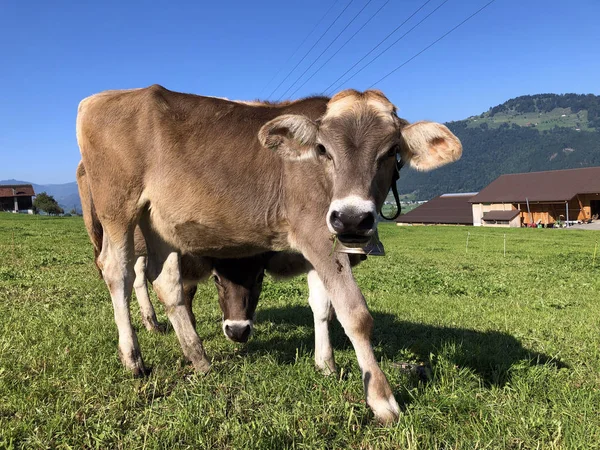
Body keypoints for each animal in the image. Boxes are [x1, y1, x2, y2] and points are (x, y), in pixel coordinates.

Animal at [75, 86, 460, 424]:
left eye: (392, 151)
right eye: (323, 149)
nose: (352, 217)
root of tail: (99, 99)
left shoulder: (321, 247)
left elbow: (322, 306)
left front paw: (325, 364)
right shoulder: (317, 232)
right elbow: (355, 315)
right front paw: (382, 400)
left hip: (158, 222)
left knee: (165, 281)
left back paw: (199, 358)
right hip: (118, 207)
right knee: (118, 271)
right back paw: (133, 358)